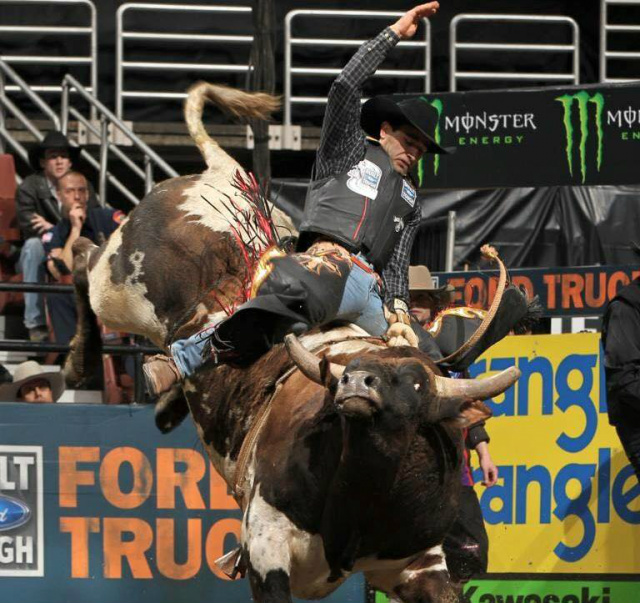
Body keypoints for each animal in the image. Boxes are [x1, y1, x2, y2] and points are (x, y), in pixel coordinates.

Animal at [66, 82, 520, 603]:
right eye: (348, 372)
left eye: (417, 384)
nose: (356, 384)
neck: (358, 503)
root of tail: (220, 172)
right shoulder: (267, 547)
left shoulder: (420, 565)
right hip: (118, 286)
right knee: (83, 257)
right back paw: (83, 362)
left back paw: (165, 403)